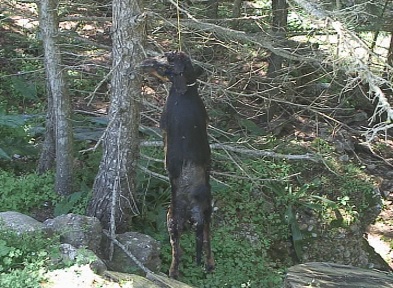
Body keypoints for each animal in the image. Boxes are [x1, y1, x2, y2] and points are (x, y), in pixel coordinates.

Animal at [141, 51, 214, 280]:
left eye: (163, 61)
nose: (144, 63)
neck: (186, 89)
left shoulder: (164, 124)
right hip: (208, 216)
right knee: (207, 242)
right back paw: (209, 265)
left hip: (172, 218)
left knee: (177, 252)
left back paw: (172, 273)